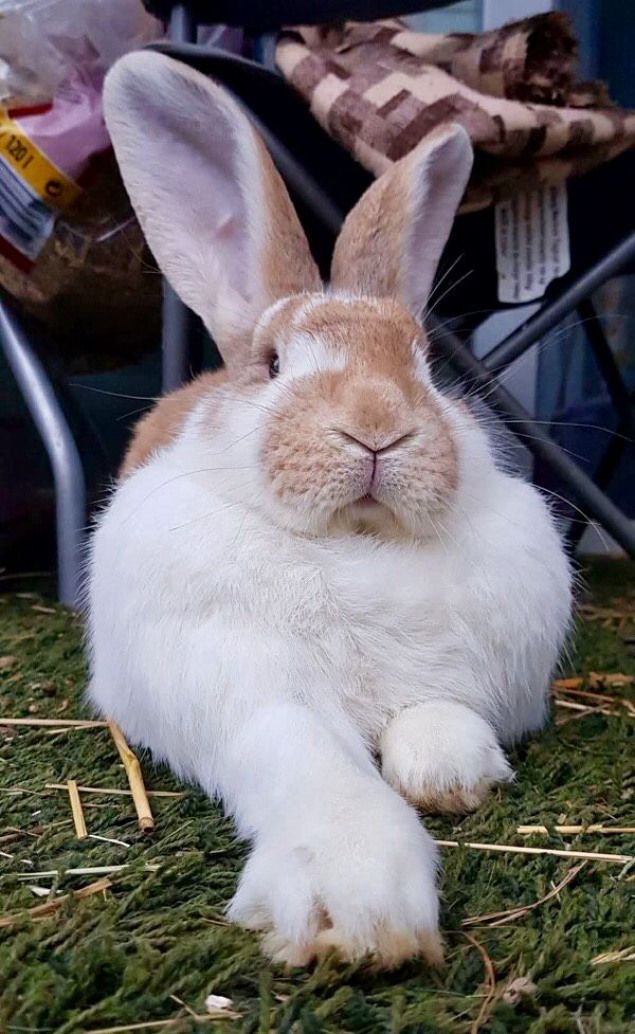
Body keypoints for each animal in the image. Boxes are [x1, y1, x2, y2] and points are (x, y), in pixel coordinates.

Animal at [86, 48, 575, 967]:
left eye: (424, 364)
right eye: (273, 363)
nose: (376, 425)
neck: (357, 543)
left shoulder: (466, 676)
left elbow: (438, 718)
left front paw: (452, 775)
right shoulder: (245, 687)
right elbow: (308, 759)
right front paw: (354, 903)